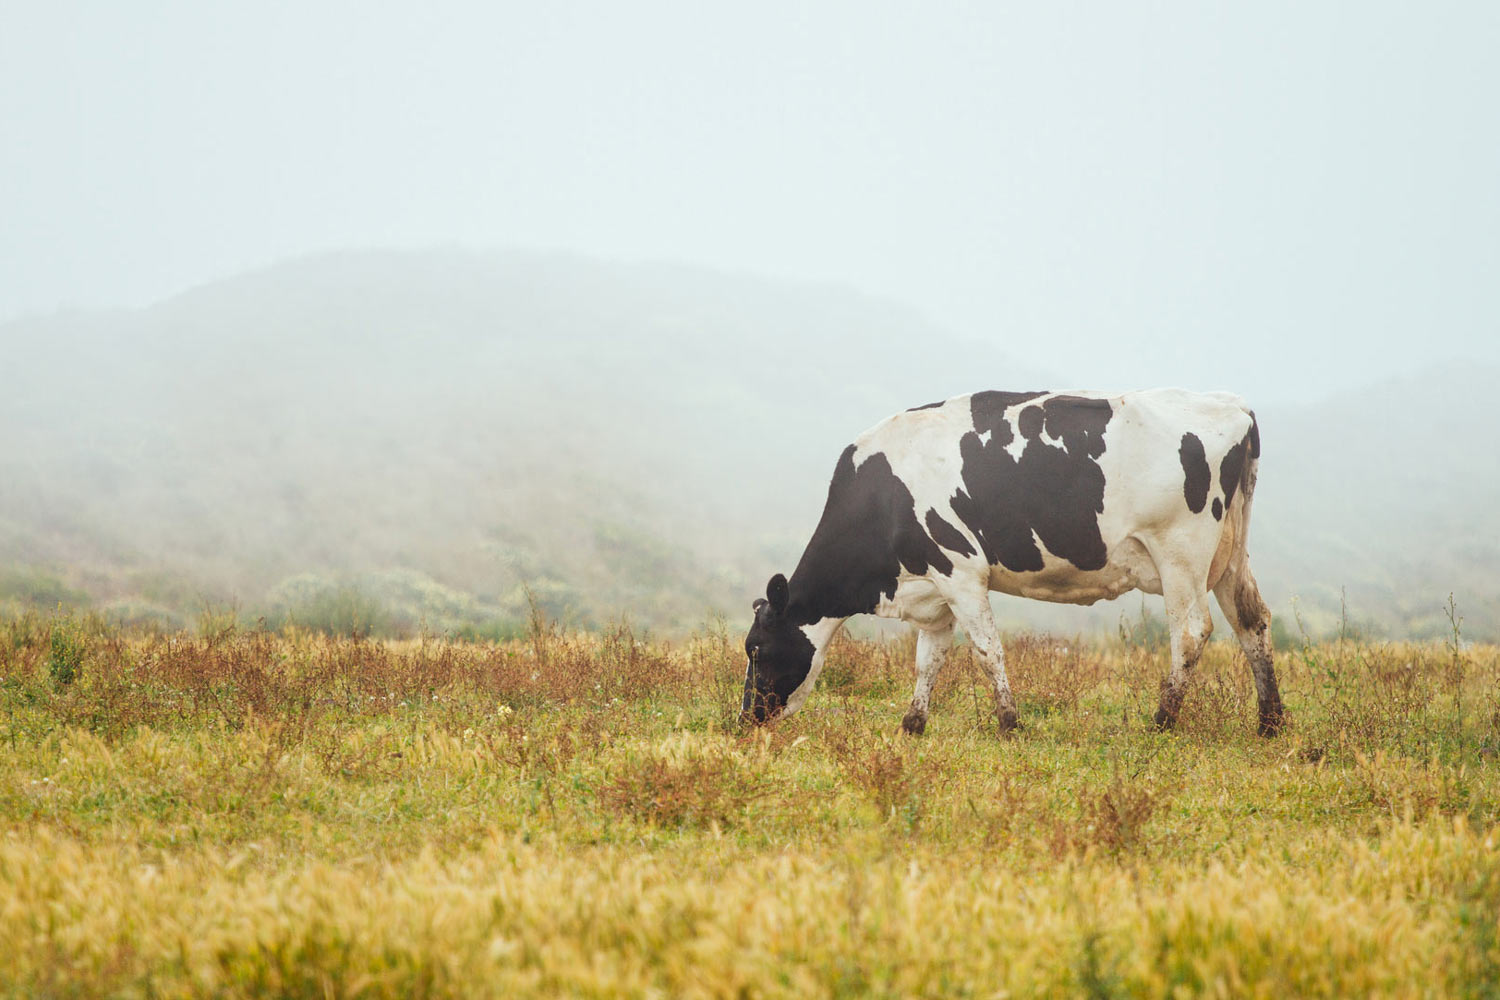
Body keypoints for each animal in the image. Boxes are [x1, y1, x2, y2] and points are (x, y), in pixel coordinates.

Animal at [744, 386, 1284, 740]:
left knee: (1191, 630)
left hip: (1180, 551)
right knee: (1252, 620)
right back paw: (1270, 721)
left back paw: (1163, 721)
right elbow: (928, 659)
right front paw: (912, 724)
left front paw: (1009, 723)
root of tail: (1233, 405)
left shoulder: (960, 570)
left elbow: (987, 651)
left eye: (756, 649)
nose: (746, 718)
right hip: (1230, 554)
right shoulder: (933, 592)